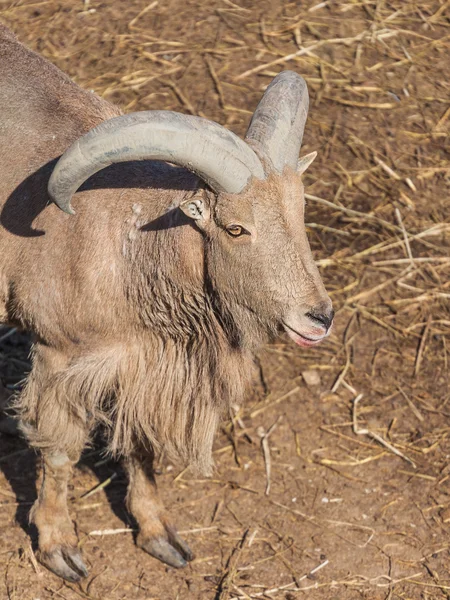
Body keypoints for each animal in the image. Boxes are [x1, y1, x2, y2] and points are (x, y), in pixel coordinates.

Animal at [0, 24, 330, 580]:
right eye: (235, 228)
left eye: (299, 212)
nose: (319, 317)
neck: (130, 244)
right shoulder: (58, 356)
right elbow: (61, 448)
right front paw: (59, 546)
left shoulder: (143, 365)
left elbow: (139, 445)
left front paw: (160, 535)